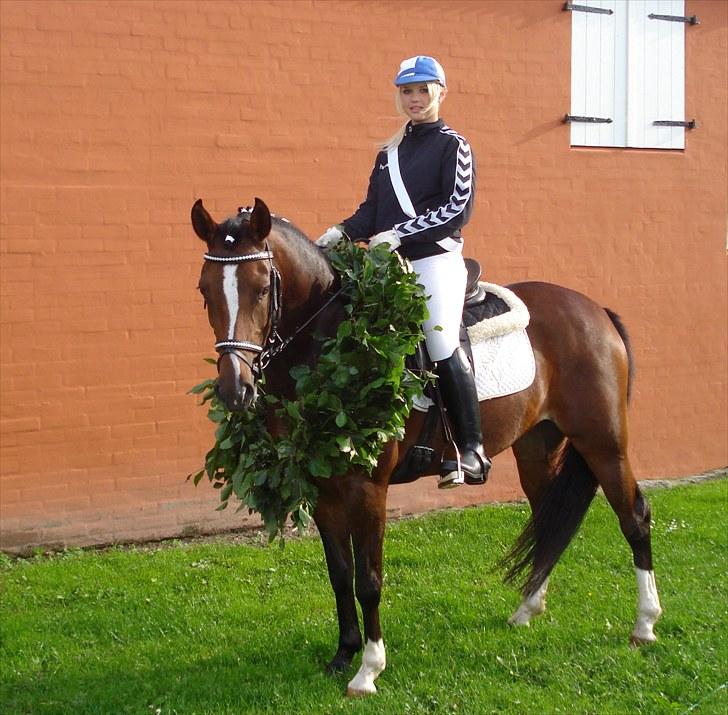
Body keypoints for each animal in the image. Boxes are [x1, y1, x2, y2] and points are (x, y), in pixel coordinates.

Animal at [191, 199, 664, 696]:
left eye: (262, 288)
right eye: (205, 290)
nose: (235, 391)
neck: (337, 344)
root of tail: (595, 310)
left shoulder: (369, 490)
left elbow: (368, 580)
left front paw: (369, 669)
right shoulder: (321, 484)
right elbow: (340, 575)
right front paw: (342, 656)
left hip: (604, 443)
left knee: (634, 516)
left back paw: (645, 624)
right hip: (536, 449)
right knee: (547, 519)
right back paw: (526, 610)